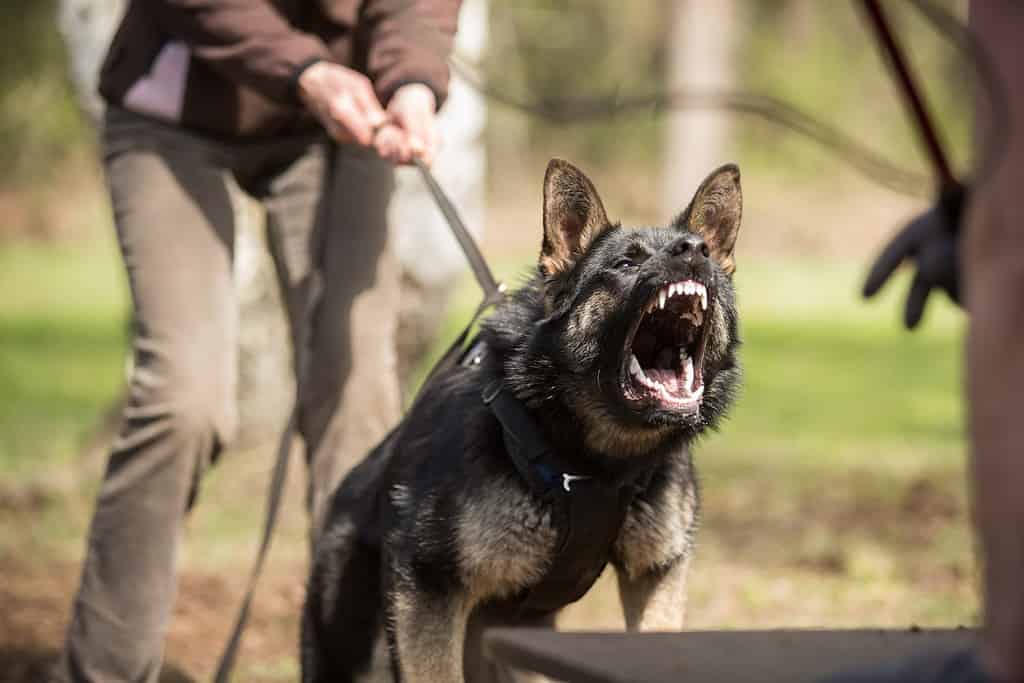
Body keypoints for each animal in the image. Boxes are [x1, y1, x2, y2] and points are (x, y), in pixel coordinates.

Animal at [301, 157, 745, 679]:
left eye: (708, 257)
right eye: (625, 263)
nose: (695, 251)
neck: (598, 462)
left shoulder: (654, 576)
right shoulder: (426, 591)